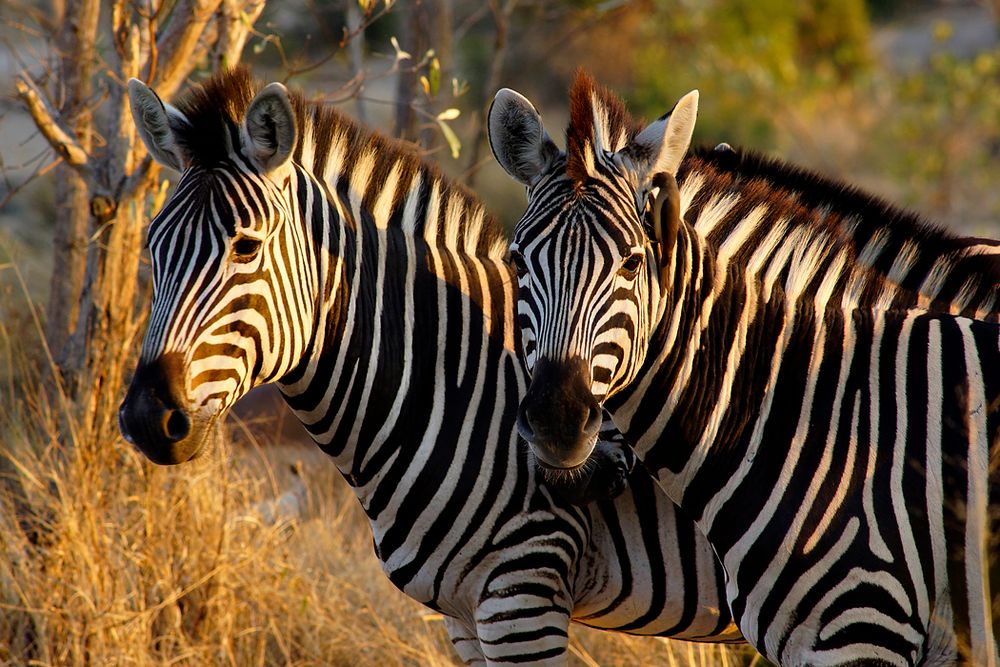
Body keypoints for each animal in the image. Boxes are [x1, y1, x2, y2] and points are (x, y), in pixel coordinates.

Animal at [115, 66, 744, 664]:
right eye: (151, 246)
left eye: (245, 247)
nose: (147, 416)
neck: (452, 382)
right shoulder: (461, 614)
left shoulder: (524, 589)